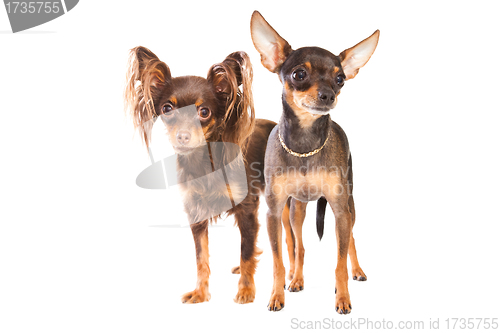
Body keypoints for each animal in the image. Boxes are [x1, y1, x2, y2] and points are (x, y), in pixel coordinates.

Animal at [123, 46, 276, 304]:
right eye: (167, 109)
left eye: (204, 112)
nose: (183, 136)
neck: (204, 160)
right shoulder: (196, 213)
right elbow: (201, 257)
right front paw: (201, 293)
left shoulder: (246, 208)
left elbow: (246, 252)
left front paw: (246, 290)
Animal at [250, 9, 378, 312]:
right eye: (299, 73)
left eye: (340, 79)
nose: (328, 95)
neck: (305, 146)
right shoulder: (274, 212)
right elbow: (279, 261)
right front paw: (277, 295)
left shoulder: (340, 211)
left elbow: (339, 262)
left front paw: (343, 298)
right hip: (296, 209)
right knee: (299, 246)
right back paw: (296, 279)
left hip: (349, 203)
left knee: (350, 239)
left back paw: (357, 270)